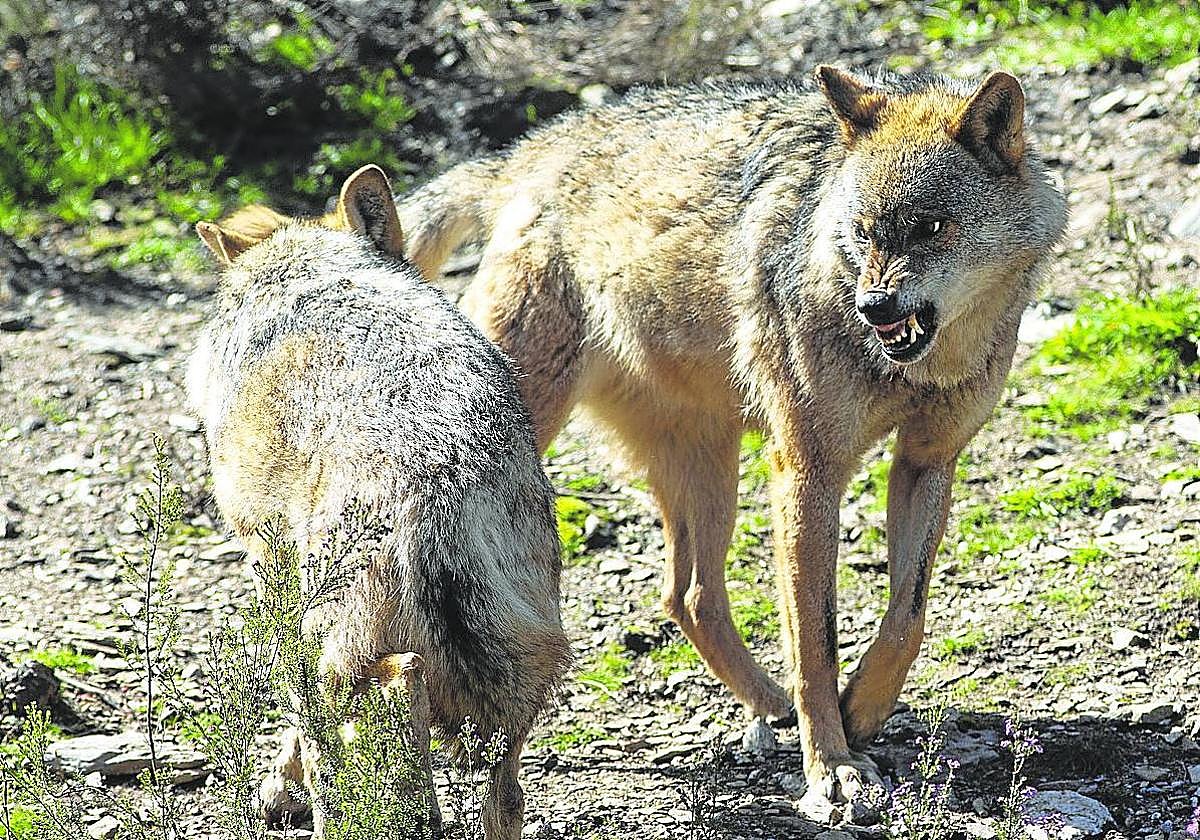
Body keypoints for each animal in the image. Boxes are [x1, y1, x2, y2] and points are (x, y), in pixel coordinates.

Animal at [187, 165, 572, 839]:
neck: (307, 270)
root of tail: (440, 498)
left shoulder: (267, 565)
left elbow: (298, 732)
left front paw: (277, 792)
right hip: (538, 658)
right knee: (505, 797)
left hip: (327, 646)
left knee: (382, 701)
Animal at [390, 66, 1068, 808]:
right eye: (863, 233)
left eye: (932, 227)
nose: (874, 306)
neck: (913, 365)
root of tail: (527, 153)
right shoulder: (806, 471)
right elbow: (815, 643)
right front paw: (832, 766)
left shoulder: (927, 460)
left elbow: (905, 618)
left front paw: (862, 708)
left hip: (710, 467)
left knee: (686, 595)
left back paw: (769, 703)